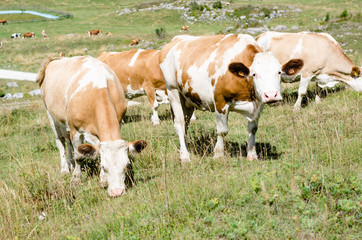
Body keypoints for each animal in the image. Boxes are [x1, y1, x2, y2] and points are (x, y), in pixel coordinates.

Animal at [37, 55, 148, 197]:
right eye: (104, 167)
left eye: (126, 165)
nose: (117, 192)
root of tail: (55, 60)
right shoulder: (76, 130)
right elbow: (79, 156)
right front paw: (76, 179)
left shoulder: (117, 123)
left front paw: (103, 180)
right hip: (52, 116)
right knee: (61, 142)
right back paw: (65, 169)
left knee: (68, 144)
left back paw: (71, 164)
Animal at [160, 33, 304, 162]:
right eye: (254, 74)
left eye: (279, 72)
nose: (271, 95)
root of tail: (176, 40)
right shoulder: (220, 101)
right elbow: (222, 131)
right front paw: (218, 155)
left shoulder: (259, 104)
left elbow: (253, 128)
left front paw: (252, 154)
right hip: (173, 92)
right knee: (179, 124)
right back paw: (185, 157)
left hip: (188, 99)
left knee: (186, 125)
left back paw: (182, 150)